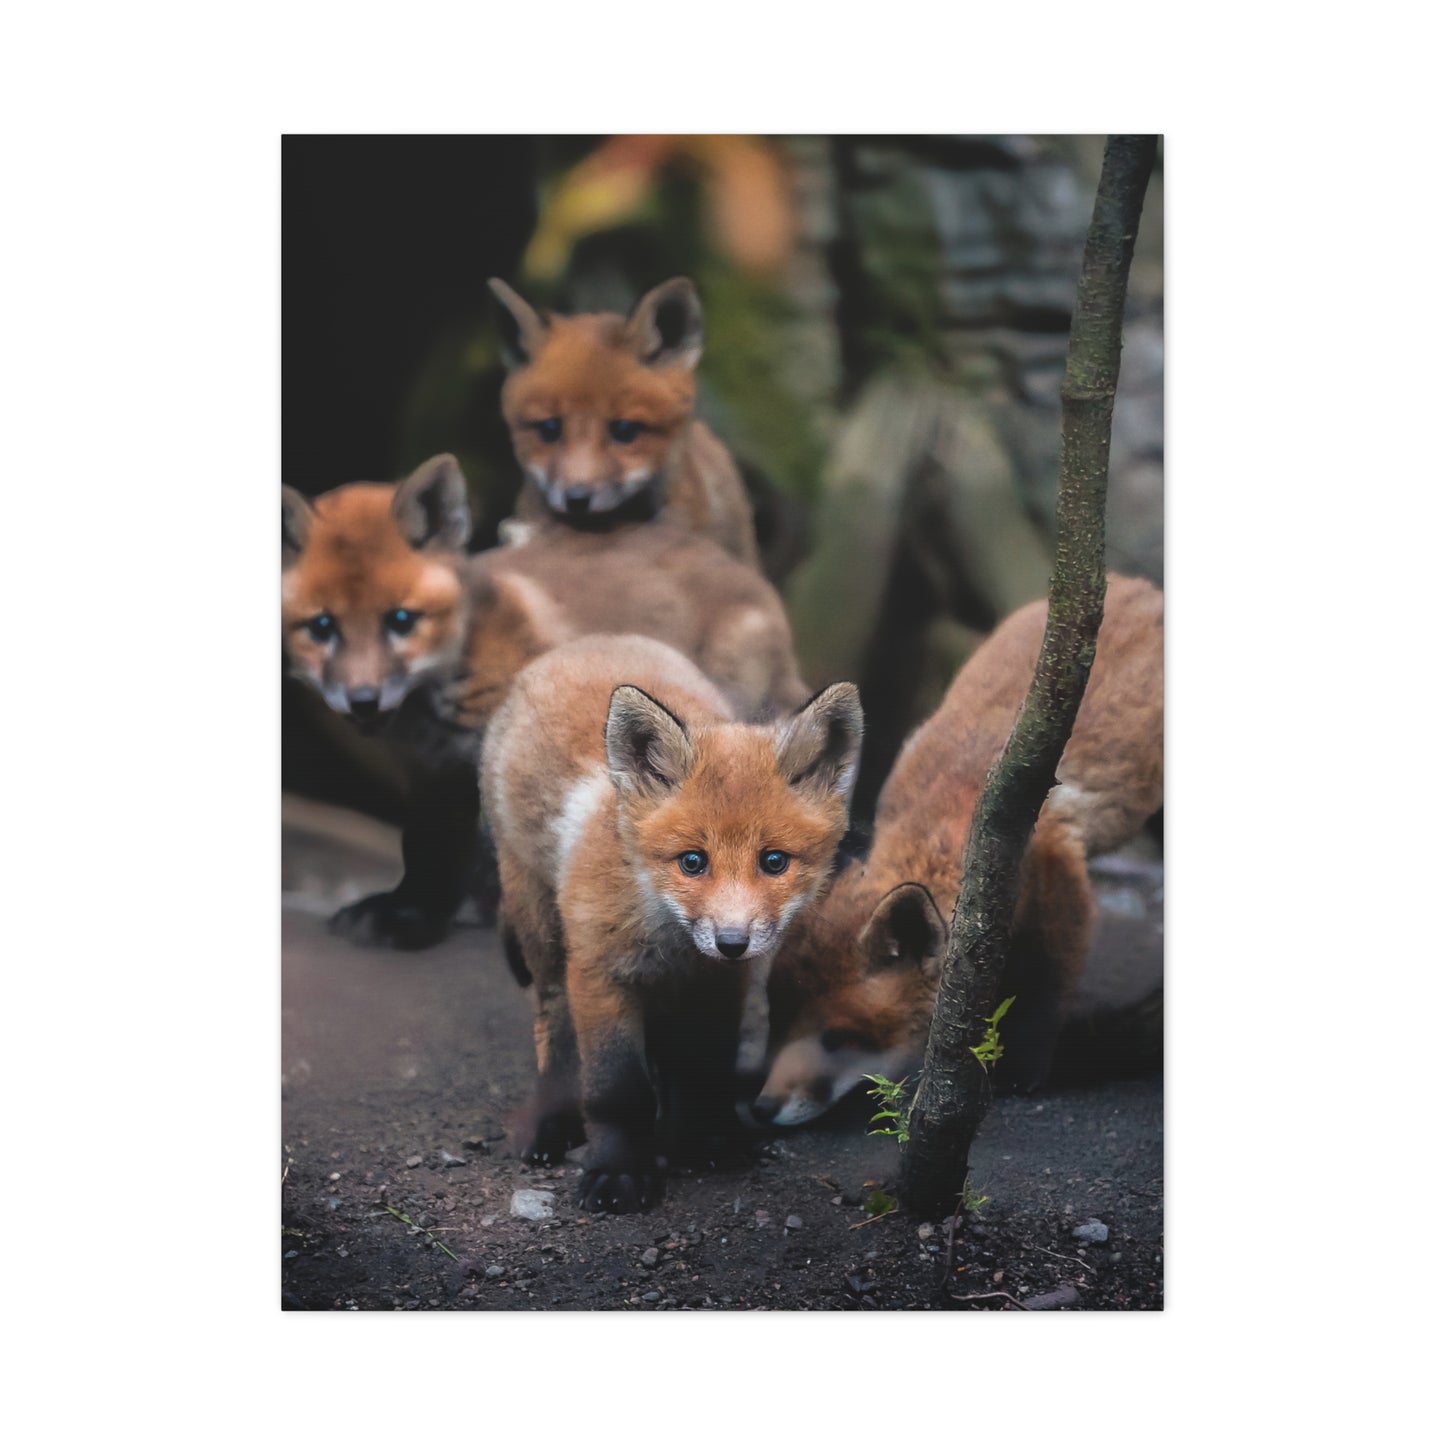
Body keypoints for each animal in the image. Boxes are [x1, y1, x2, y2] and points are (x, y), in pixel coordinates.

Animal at [282, 455, 809, 950]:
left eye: (401, 620)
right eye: (322, 627)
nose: (363, 701)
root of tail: (748, 574)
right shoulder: (433, 771)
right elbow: (426, 844)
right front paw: (412, 910)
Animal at [482, 633, 863, 1212]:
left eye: (774, 861)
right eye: (692, 862)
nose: (732, 941)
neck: (671, 941)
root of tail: (592, 640)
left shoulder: (719, 986)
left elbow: (701, 1070)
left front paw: (703, 1141)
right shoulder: (600, 973)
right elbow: (616, 1090)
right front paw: (618, 1170)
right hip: (543, 934)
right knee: (553, 1028)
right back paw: (551, 1122)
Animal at [754, 575, 1164, 1126]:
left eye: (838, 1039)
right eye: (778, 1021)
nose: (762, 1109)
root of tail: (1136, 584)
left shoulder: (1058, 876)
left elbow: (1045, 986)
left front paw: (1018, 1072)